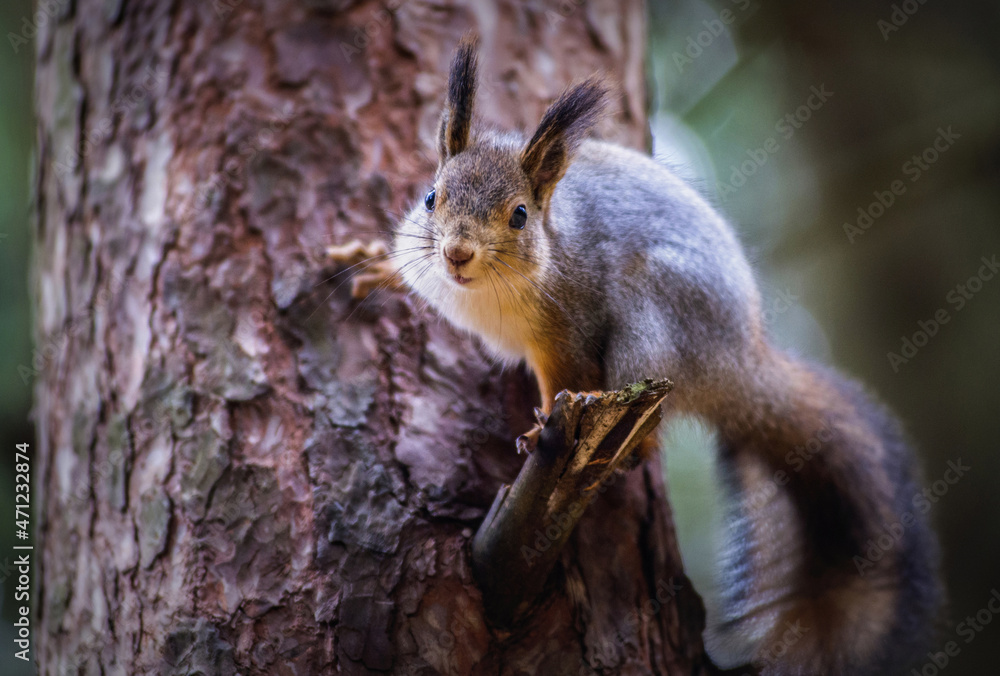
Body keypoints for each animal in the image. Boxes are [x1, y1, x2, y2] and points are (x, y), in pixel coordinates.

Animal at [334, 37, 943, 675]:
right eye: (431, 198)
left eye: (520, 215)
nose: (456, 253)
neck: (479, 293)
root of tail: (741, 367)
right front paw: (373, 265)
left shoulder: (569, 326)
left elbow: (563, 378)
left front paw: (543, 429)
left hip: (653, 324)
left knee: (646, 424)